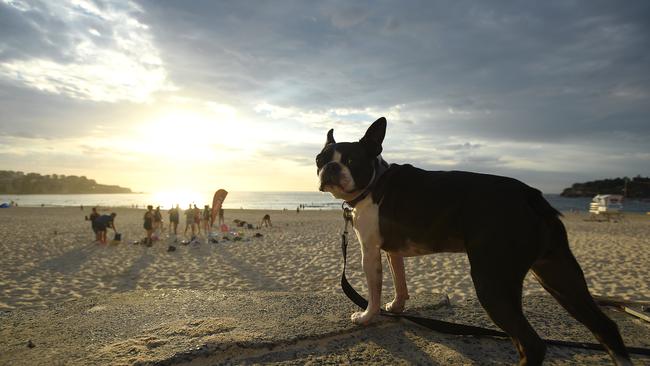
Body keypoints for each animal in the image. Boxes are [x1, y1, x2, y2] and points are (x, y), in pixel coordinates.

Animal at [314, 118, 628, 366]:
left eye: (351, 161)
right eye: (320, 159)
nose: (330, 168)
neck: (373, 182)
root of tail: (530, 195)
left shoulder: (369, 250)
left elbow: (374, 289)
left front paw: (367, 316)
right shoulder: (393, 251)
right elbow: (399, 280)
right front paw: (397, 307)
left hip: (493, 281)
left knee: (532, 344)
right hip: (558, 273)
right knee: (605, 327)